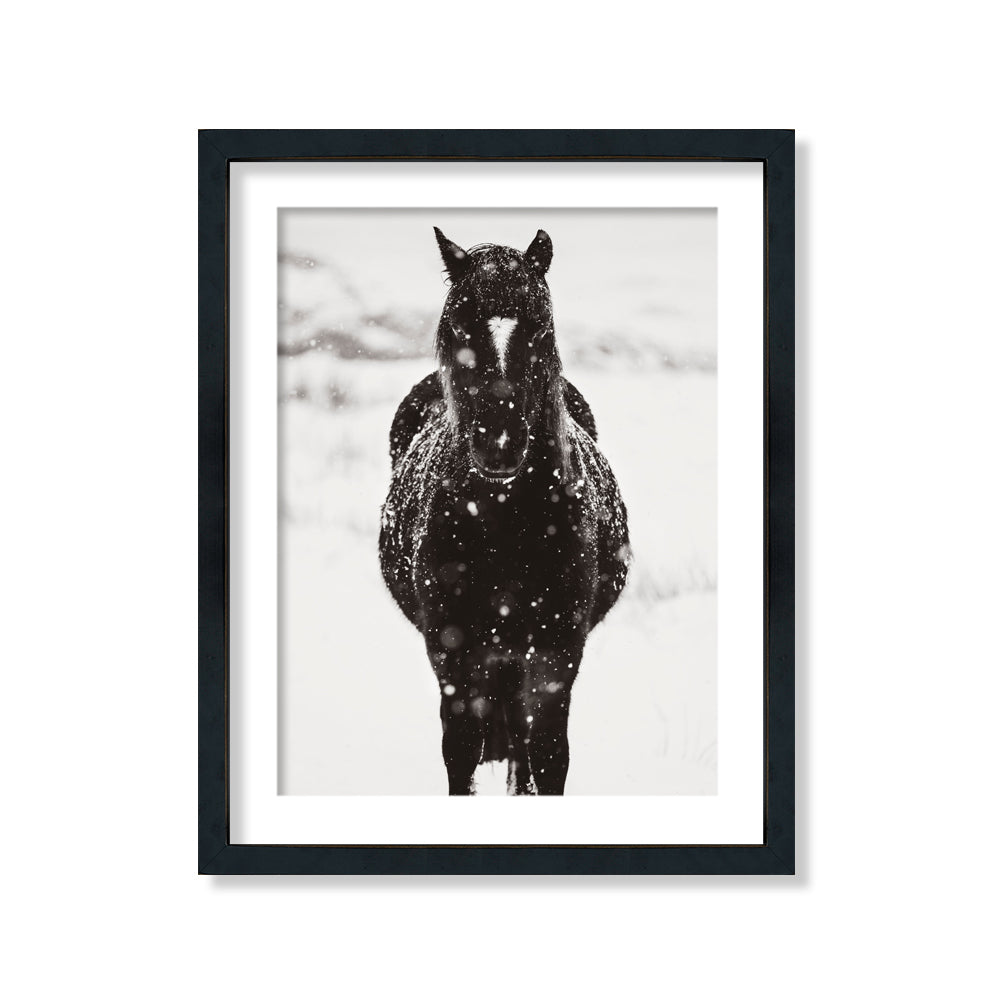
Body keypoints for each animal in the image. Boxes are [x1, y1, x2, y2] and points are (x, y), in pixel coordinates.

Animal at [379, 227, 630, 795]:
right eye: (459, 325)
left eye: (539, 327)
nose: (498, 445)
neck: (505, 525)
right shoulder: (455, 659)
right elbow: (461, 754)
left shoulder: (556, 658)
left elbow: (549, 755)